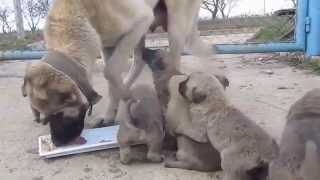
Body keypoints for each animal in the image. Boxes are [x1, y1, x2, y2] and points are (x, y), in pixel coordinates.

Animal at [21, 0, 214, 146]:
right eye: (45, 118)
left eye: (60, 114)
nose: (57, 143)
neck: (81, 9)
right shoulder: (107, 45)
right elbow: (111, 79)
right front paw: (110, 114)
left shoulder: (141, 20)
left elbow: (110, 71)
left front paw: (128, 99)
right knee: (139, 61)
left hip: (175, 25)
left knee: (172, 62)